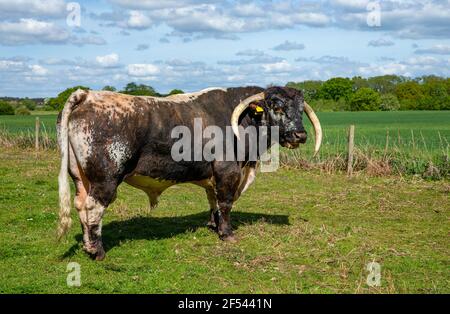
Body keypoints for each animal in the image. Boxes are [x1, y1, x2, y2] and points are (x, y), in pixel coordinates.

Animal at [58, 86, 322, 260]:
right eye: (276, 106)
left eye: (300, 108)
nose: (299, 135)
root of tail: (88, 95)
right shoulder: (228, 170)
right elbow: (225, 203)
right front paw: (227, 233)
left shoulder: (214, 176)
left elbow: (213, 201)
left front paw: (214, 225)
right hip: (105, 179)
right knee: (93, 209)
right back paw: (97, 251)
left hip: (80, 177)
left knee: (80, 205)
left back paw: (87, 246)